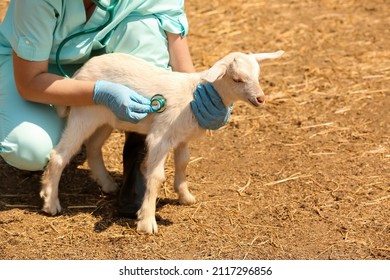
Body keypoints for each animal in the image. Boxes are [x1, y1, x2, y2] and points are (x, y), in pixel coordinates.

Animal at [40, 49, 284, 233]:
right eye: (237, 79)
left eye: (258, 75)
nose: (260, 99)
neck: (193, 96)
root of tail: (79, 72)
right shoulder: (160, 137)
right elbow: (156, 176)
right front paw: (147, 221)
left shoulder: (182, 137)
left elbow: (183, 163)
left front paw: (185, 196)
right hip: (83, 114)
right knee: (59, 155)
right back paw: (51, 202)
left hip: (107, 117)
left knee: (93, 147)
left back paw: (107, 184)